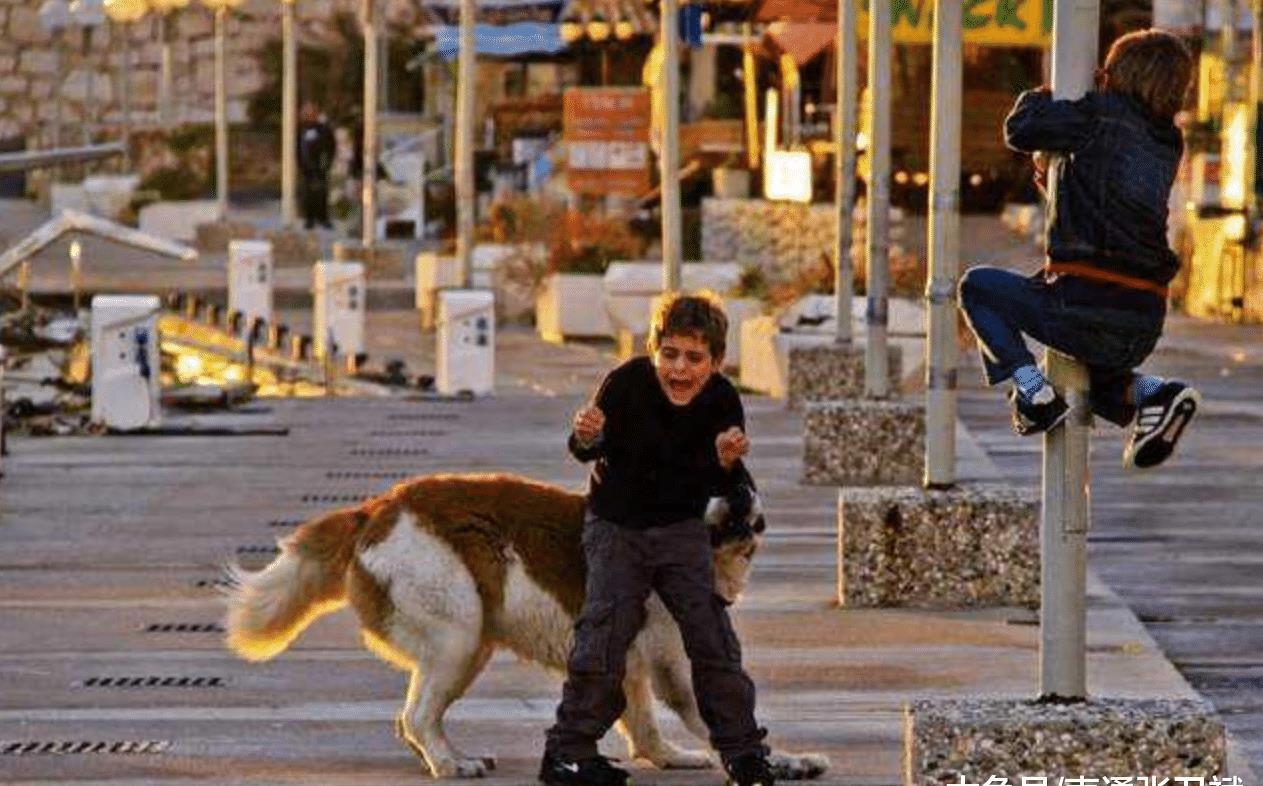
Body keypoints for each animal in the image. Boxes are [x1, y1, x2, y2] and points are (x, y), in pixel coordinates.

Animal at [223, 475, 833, 783]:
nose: (738, 493)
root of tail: (376, 508)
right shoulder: (671, 662)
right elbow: (711, 710)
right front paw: (783, 761)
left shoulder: (632, 658)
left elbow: (641, 719)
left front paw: (666, 757)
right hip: (458, 633)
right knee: (417, 714)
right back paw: (450, 763)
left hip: (469, 645)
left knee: (414, 718)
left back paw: (443, 754)